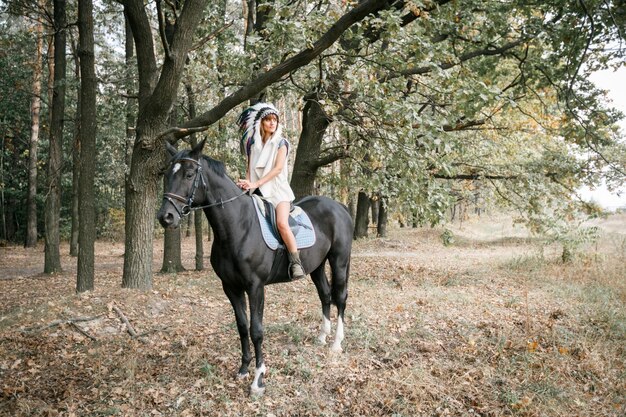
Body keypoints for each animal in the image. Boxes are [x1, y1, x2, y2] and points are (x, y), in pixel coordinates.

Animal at [156, 138, 352, 394]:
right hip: (317, 266)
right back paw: (322, 337)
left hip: (339, 261)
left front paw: (258, 378)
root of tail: (340, 207)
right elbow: (242, 326)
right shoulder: (231, 287)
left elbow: (256, 330)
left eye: (189, 174)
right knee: (325, 295)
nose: (165, 217)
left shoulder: (256, 287)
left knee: (340, 297)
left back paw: (336, 343)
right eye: (167, 174)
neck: (238, 227)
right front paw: (243, 369)